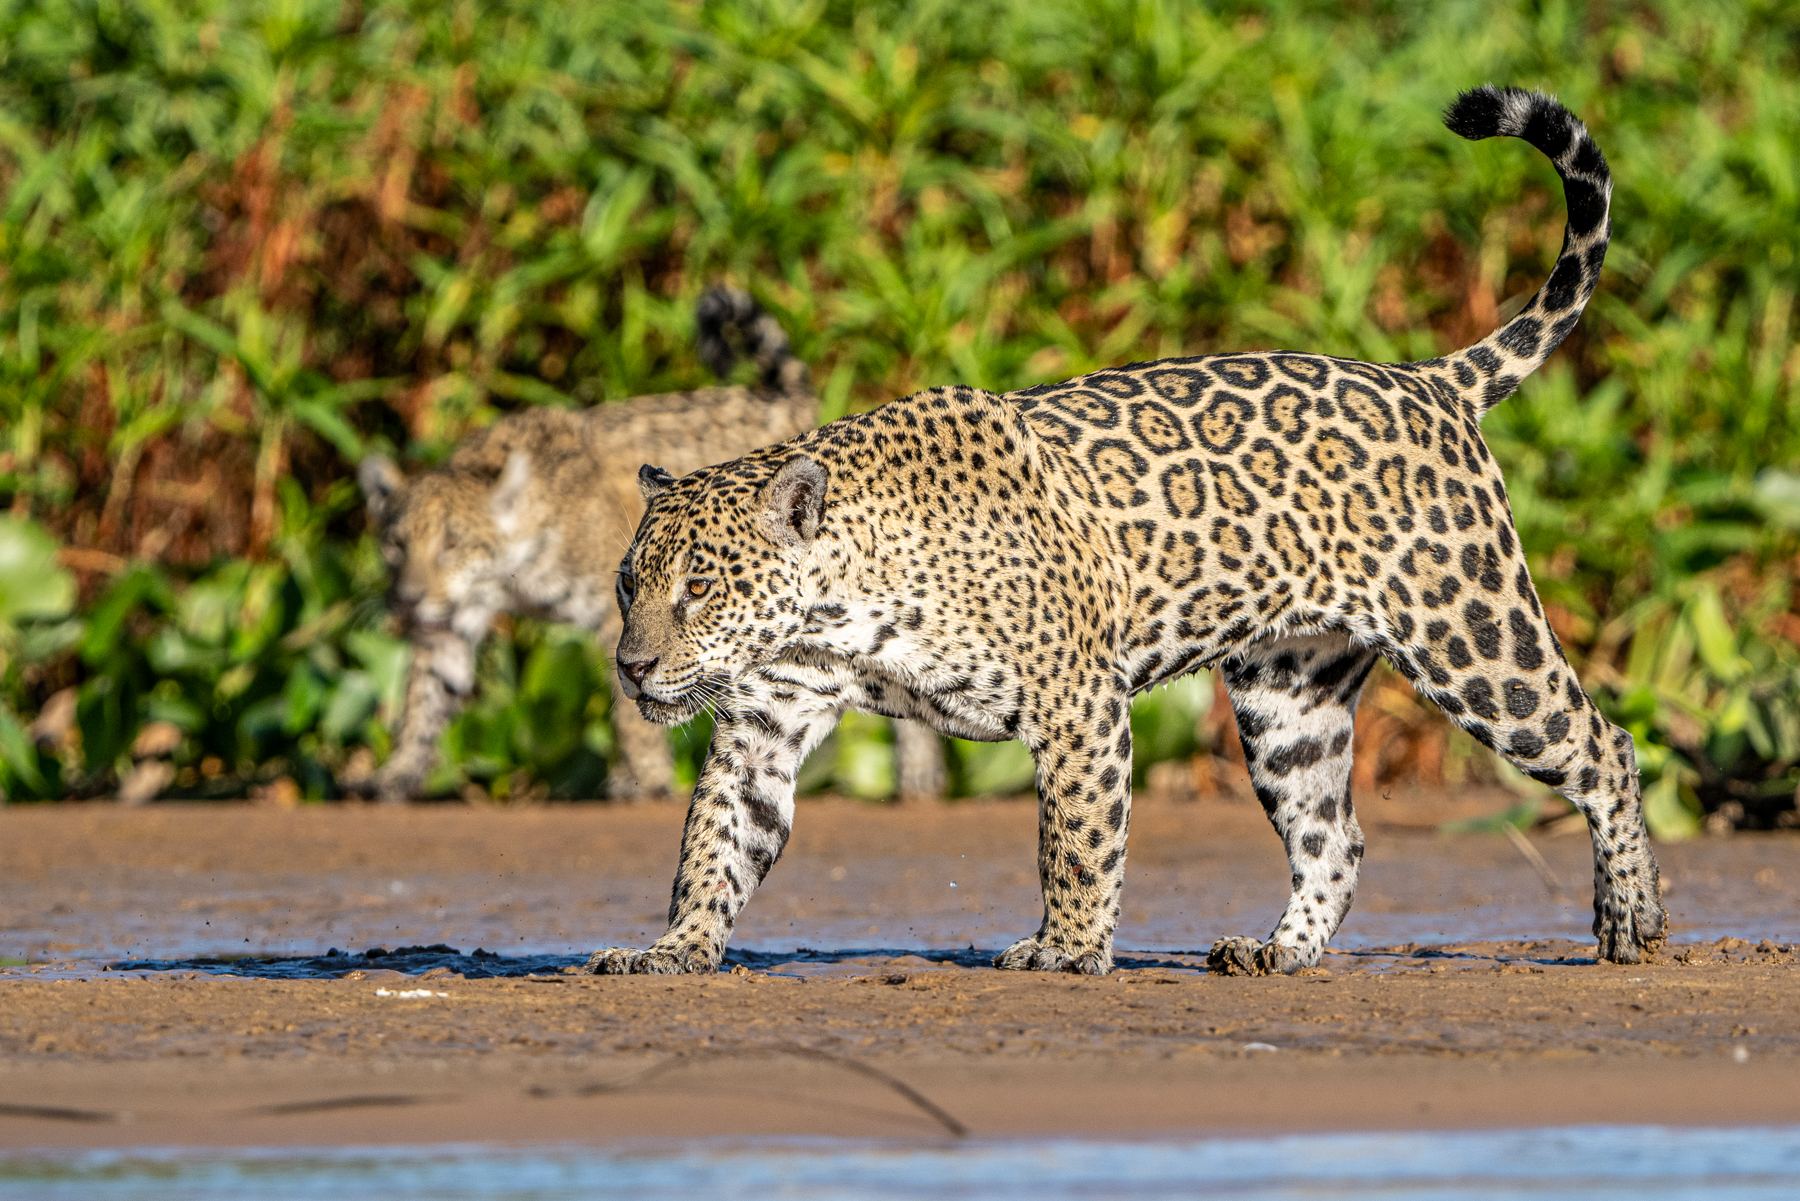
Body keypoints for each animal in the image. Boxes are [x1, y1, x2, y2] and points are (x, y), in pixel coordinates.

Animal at [359, 286, 946, 803]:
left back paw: (918, 780)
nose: (408, 600)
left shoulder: (608, 618)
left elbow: (628, 711)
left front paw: (642, 779)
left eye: (453, 545)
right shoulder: (453, 623)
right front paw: (396, 775)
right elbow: (423, 696)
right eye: (394, 546)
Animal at [583, 86, 1665, 978]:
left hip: (1470, 635)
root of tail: (1428, 379)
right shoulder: (762, 724)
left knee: (1604, 745)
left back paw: (1633, 923)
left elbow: (1075, 836)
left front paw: (1065, 947)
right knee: (1334, 835)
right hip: (1288, 694)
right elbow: (715, 842)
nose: (632, 668)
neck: (840, 608)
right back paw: (1276, 951)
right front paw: (671, 948)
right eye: (630, 585)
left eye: (700, 588)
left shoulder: (1077, 701)